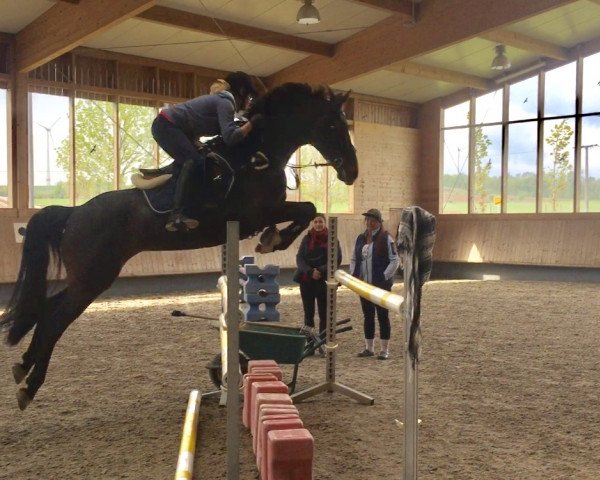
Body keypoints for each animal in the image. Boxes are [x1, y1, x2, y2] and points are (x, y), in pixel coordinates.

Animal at [0, 83, 358, 408]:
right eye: (332, 125)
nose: (352, 172)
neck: (256, 155)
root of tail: (74, 212)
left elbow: (307, 210)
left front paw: (272, 239)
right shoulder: (255, 213)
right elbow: (306, 209)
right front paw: (273, 240)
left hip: (87, 278)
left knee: (46, 309)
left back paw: (22, 366)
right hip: (92, 278)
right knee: (56, 319)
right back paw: (29, 386)